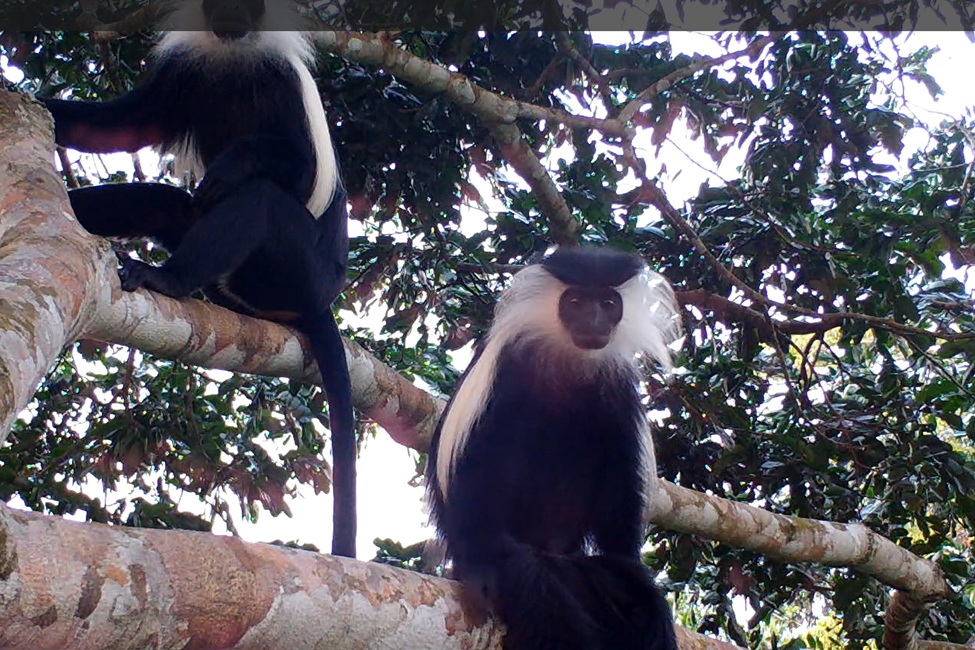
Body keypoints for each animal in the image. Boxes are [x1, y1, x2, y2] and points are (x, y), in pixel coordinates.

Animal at [41, 0, 359, 557]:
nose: (233, 20)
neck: (233, 55)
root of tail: (321, 298)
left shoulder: (281, 82)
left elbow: (299, 171)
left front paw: (235, 163)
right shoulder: (184, 74)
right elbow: (124, 126)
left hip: (294, 272)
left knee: (261, 200)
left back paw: (167, 278)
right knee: (160, 202)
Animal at [426, 246, 681, 649]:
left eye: (608, 303)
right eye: (575, 302)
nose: (594, 320)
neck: (568, 358)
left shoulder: (618, 386)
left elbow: (621, 486)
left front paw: (629, 563)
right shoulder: (506, 368)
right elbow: (473, 467)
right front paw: (480, 571)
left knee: (628, 589)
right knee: (533, 579)